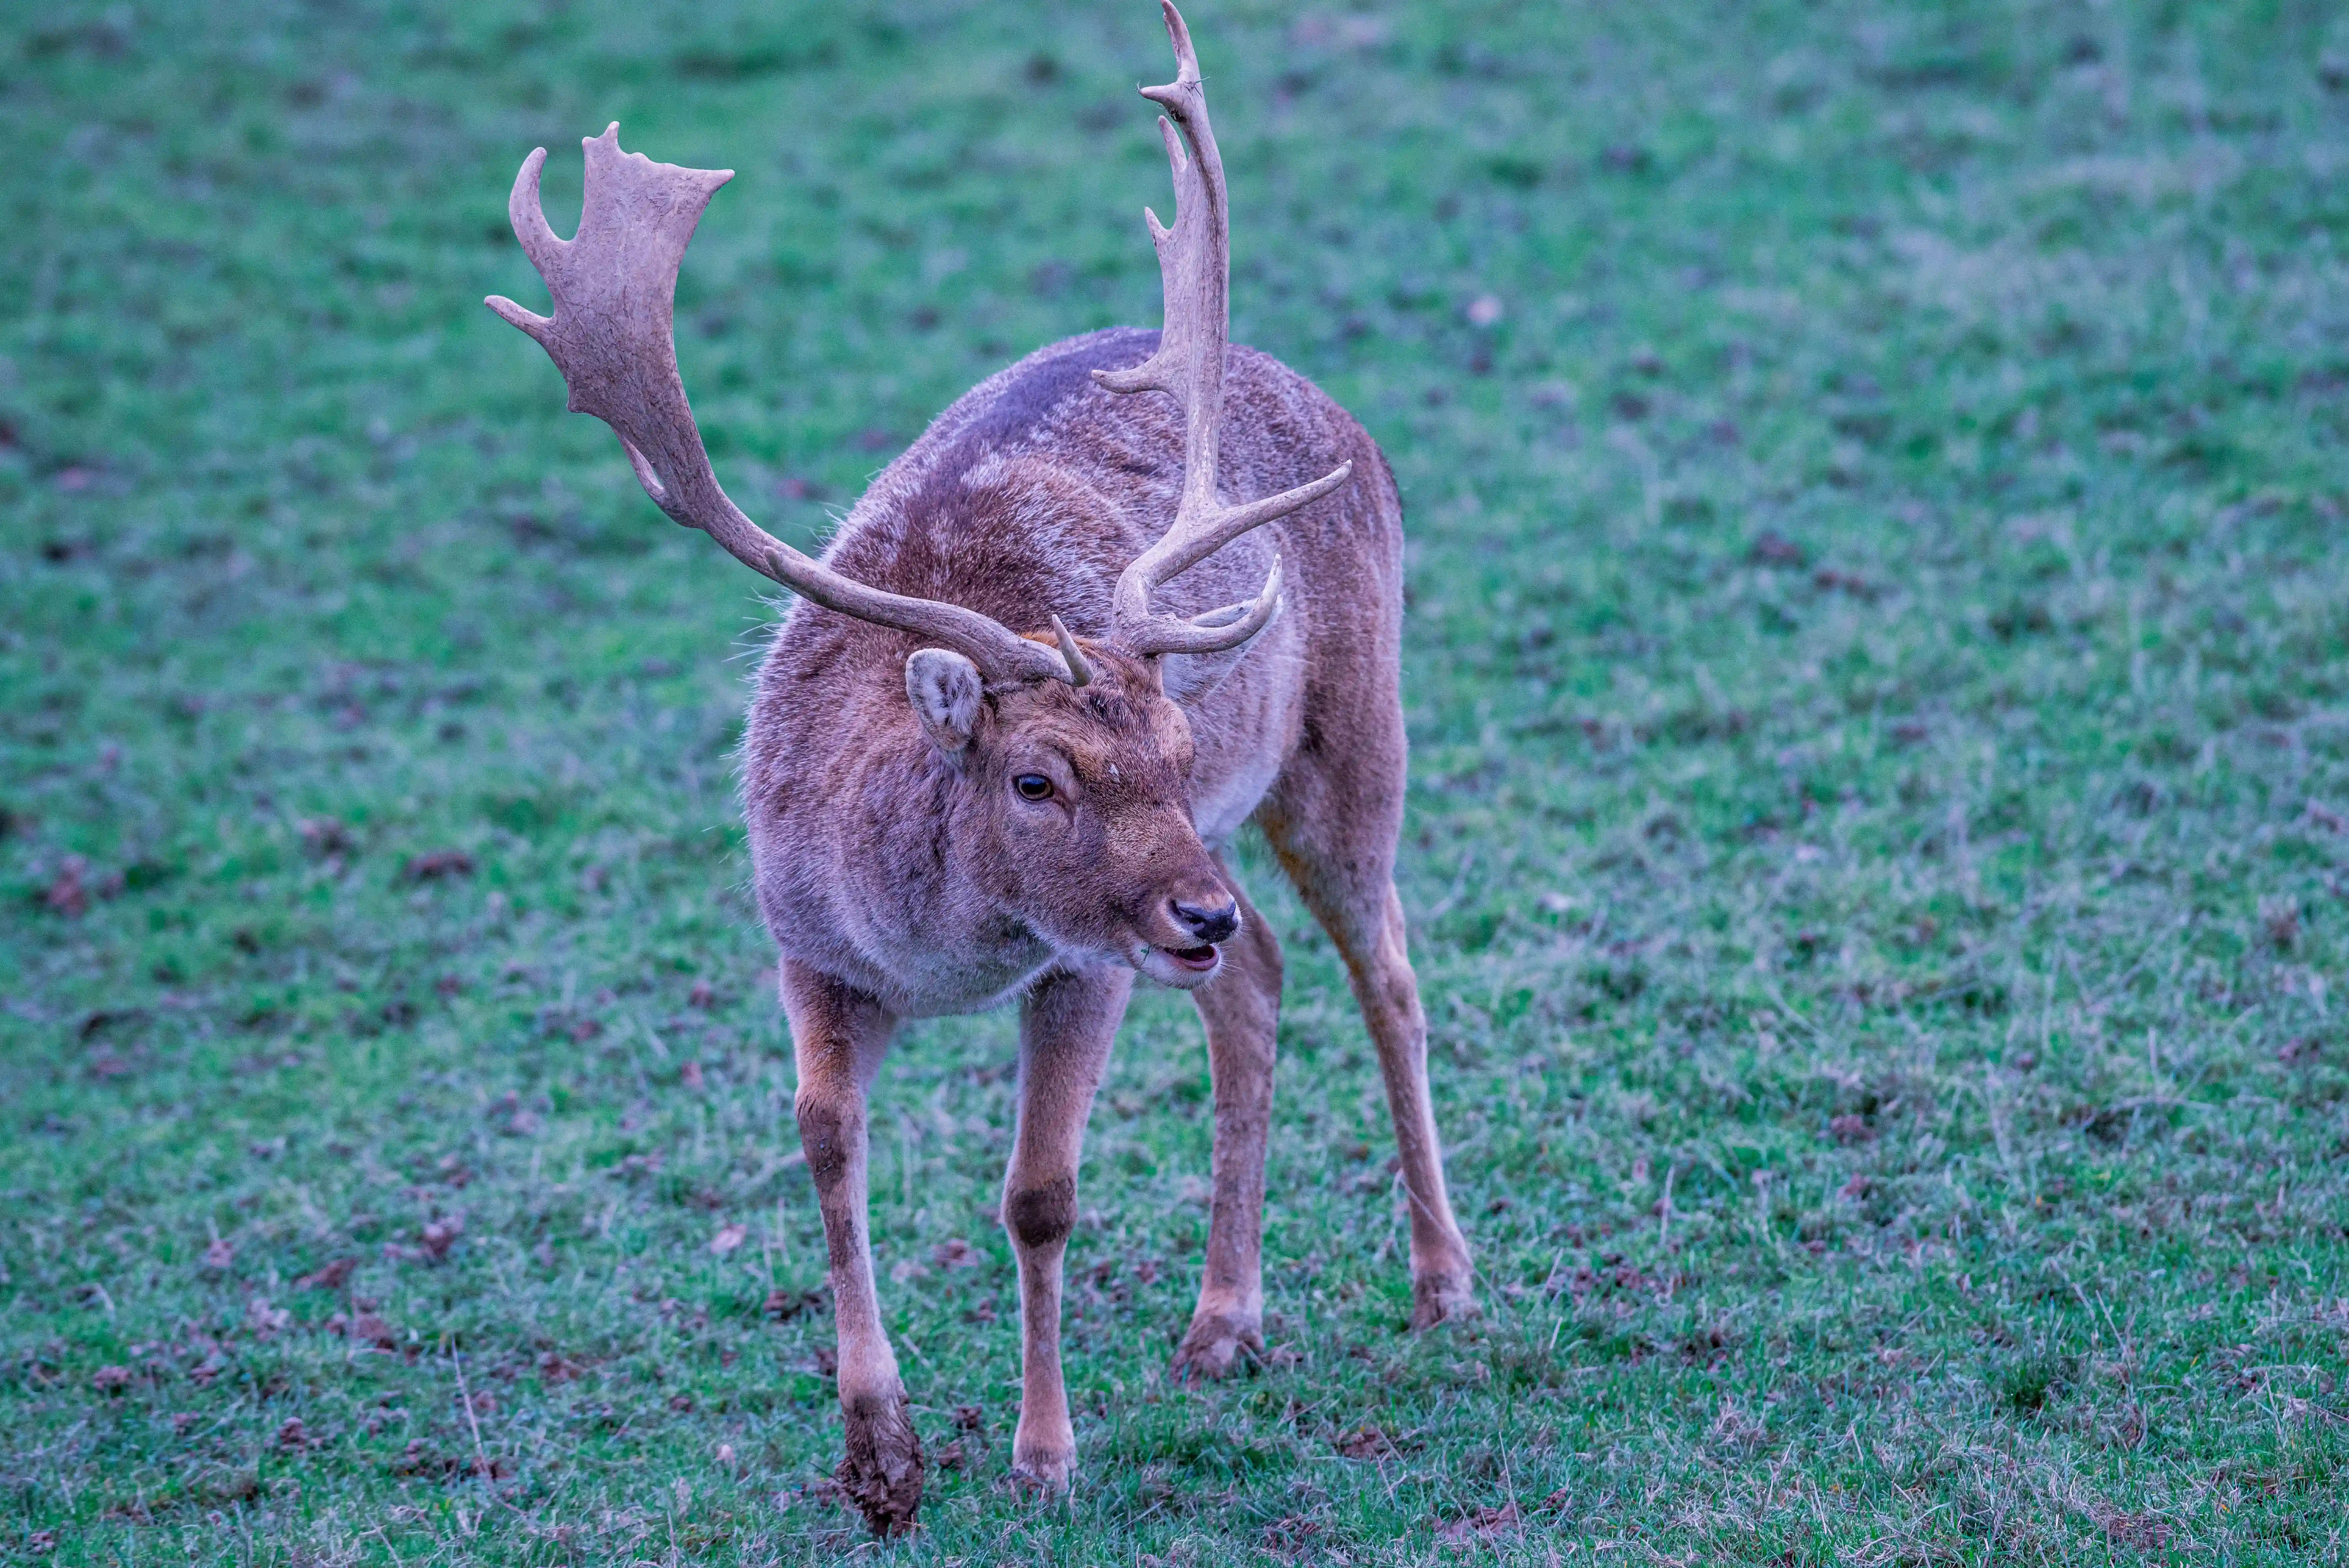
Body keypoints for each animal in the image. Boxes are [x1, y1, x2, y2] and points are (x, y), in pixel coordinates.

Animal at [486, 1, 1473, 1536]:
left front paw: (1041, 1456)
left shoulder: (1079, 964)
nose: (1191, 902)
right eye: (1038, 779)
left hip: (1347, 737)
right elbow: (825, 1142)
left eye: (1174, 748)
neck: (938, 949)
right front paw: (878, 1458)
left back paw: (1441, 1285)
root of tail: (1321, 398)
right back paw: (1220, 1323)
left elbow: (1038, 1195)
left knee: (1389, 972)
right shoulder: (805, 946)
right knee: (1259, 978)